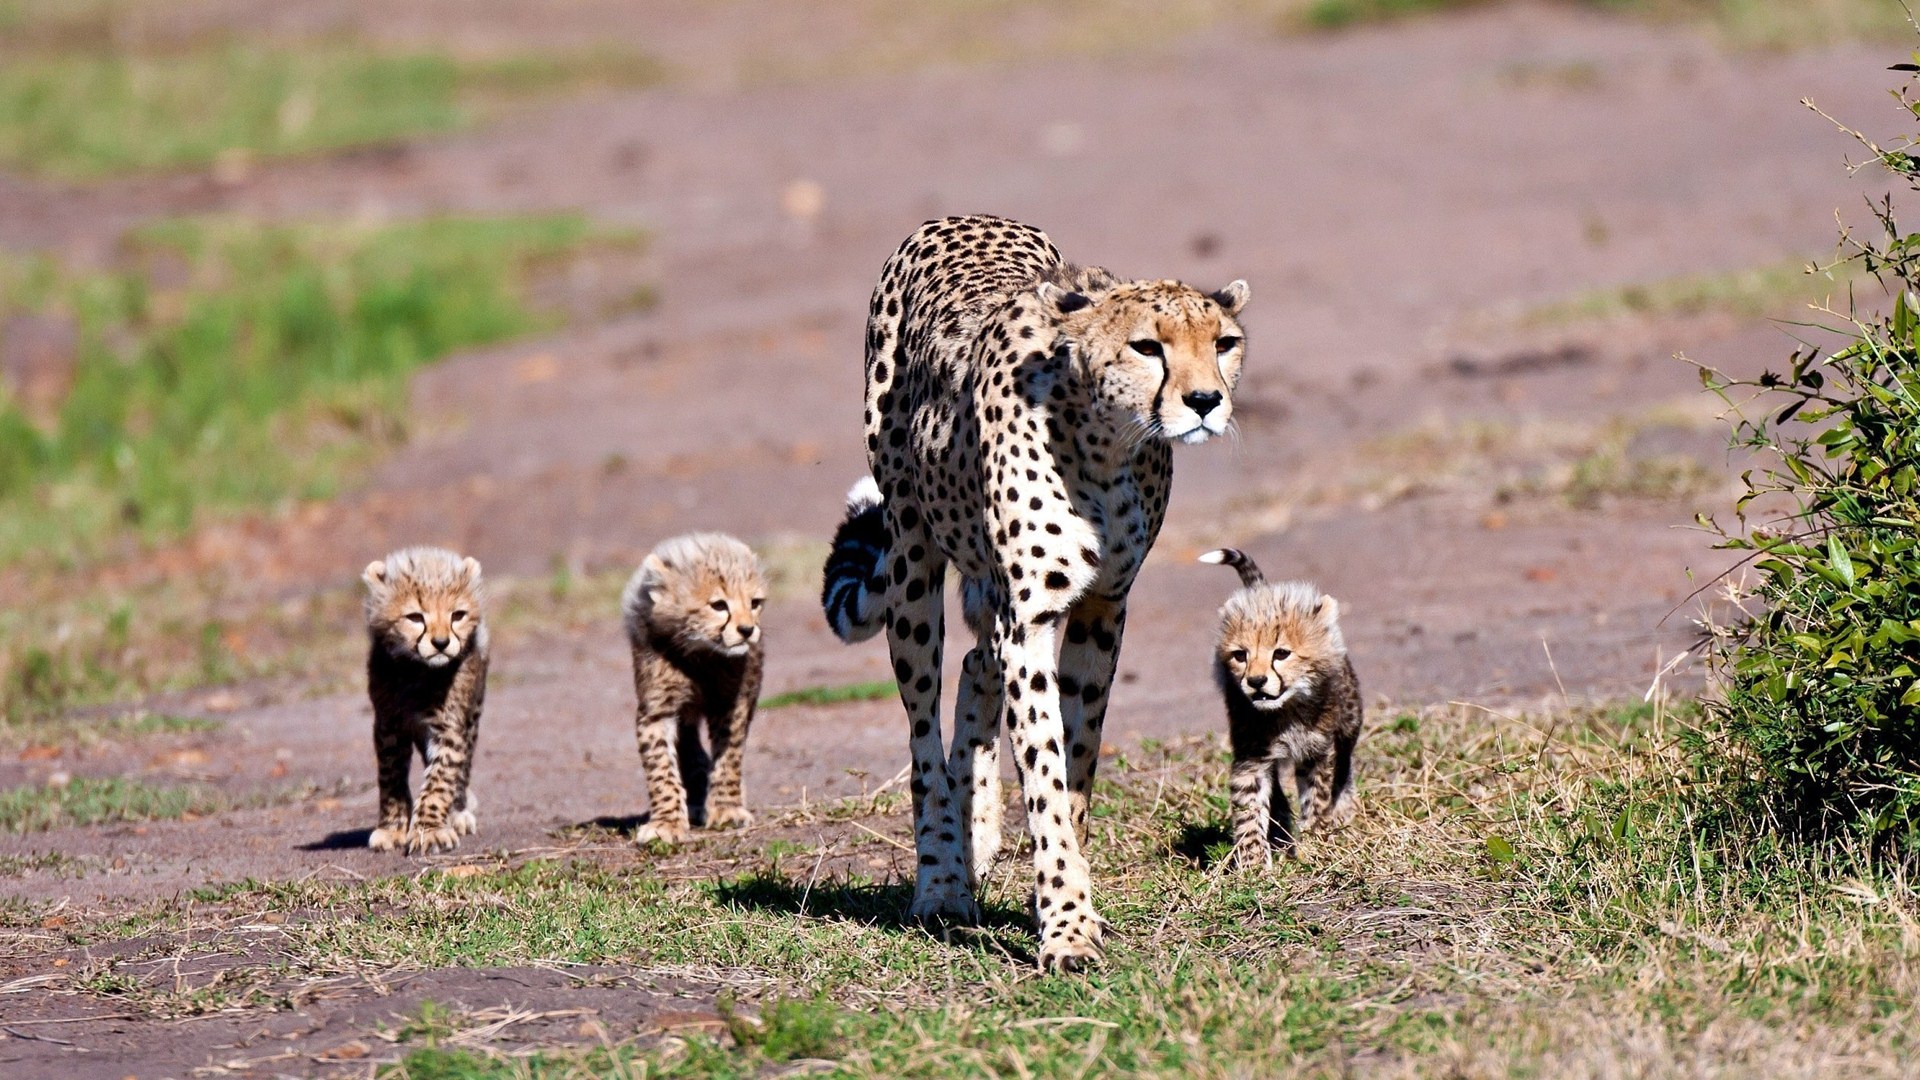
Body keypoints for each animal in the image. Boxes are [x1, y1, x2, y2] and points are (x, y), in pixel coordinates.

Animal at [362, 546, 489, 856]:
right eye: (415, 617)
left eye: (458, 615)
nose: (441, 643)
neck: (417, 672)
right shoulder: (388, 726)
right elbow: (391, 778)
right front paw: (392, 828)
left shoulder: (450, 729)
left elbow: (439, 781)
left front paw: (430, 831)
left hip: (472, 716)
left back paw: (459, 812)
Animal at [621, 532, 767, 847]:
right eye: (718, 605)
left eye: (755, 602)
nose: (748, 630)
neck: (700, 654)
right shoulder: (657, 710)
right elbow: (661, 768)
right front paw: (666, 822)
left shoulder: (731, 704)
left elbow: (728, 758)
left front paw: (726, 808)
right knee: (689, 748)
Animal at [821, 214, 1250, 971]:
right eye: (1147, 346)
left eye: (1223, 343)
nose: (1205, 402)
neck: (1106, 446)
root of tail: (958, 217)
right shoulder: (1033, 619)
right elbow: (1045, 772)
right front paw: (1068, 928)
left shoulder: (1104, 609)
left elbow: (1075, 765)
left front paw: (1059, 893)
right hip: (911, 559)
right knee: (924, 731)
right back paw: (943, 880)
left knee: (974, 666)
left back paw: (978, 837)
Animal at [1199, 548, 1362, 870]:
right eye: (1240, 655)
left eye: (1282, 653)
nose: (1256, 681)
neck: (1286, 710)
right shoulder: (1250, 758)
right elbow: (1249, 808)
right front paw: (1254, 864)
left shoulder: (1317, 752)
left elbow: (1318, 796)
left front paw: (1313, 843)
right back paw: (1280, 829)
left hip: (1351, 719)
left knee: (1345, 763)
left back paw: (1341, 811)